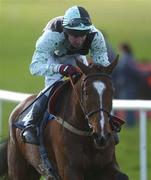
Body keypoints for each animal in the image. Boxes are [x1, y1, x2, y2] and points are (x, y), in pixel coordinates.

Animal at [0, 56, 129, 180]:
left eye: (112, 91)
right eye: (86, 92)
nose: (101, 135)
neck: (86, 134)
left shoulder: (106, 164)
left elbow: (122, 176)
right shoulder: (69, 170)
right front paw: (67, 69)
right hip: (19, 166)